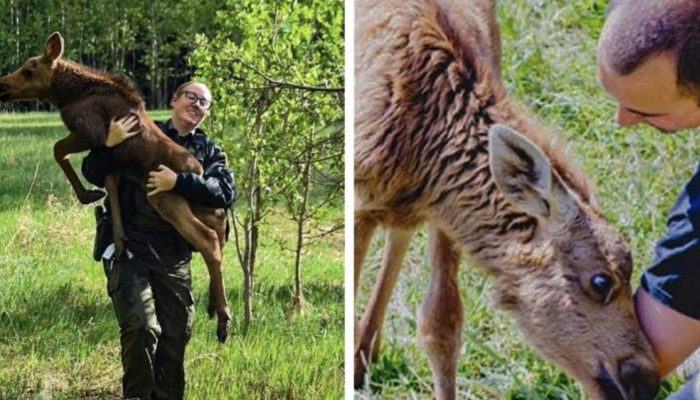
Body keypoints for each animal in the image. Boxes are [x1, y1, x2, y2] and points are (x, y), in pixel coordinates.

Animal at [0, 32, 232, 344]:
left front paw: (87, 194)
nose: (2, 84)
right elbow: (112, 199)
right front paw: (119, 242)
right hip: (198, 200)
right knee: (220, 222)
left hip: (163, 196)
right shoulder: (112, 162)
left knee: (208, 239)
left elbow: (57, 150)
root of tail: (196, 169)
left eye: (29, 70)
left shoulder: (90, 132)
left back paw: (223, 319)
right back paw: (214, 305)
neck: (66, 94)